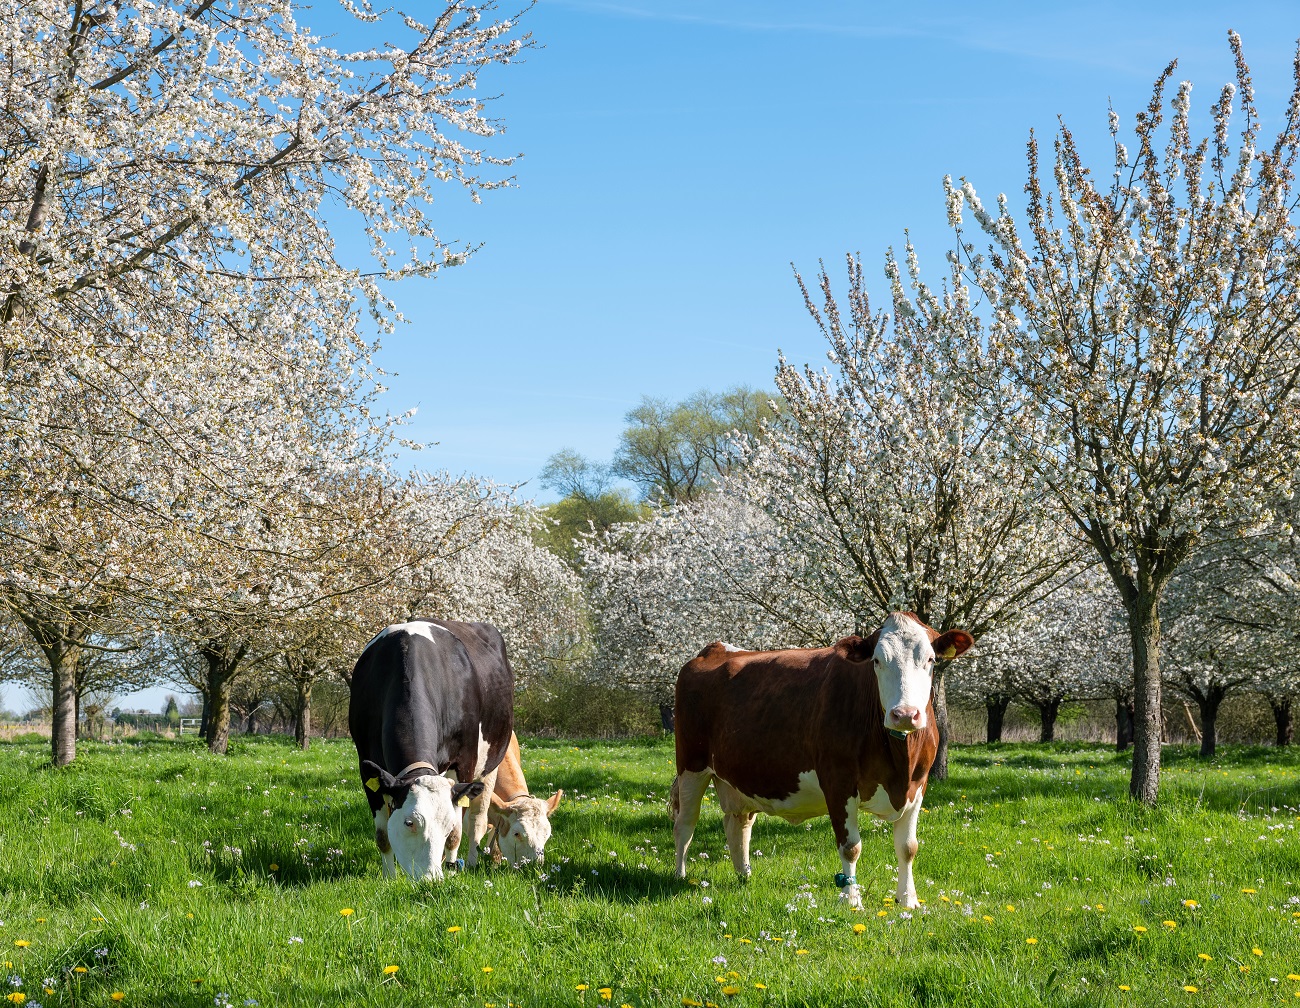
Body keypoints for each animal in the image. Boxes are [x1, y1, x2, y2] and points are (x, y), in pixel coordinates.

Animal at [349, 619, 515, 880]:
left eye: (446, 826)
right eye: (409, 823)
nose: (431, 878)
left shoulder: (464, 762)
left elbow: (457, 833)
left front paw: (452, 871)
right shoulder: (366, 766)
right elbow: (383, 836)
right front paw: (389, 878)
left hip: (490, 764)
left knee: (477, 820)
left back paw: (469, 862)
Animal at [670, 612, 974, 909]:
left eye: (931, 660)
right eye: (877, 661)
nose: (905, 714)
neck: (900, 761)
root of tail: (715, 649)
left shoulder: (918, 784)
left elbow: (908, 847)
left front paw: (908, 900)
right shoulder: (838, 782)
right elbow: (850, 847)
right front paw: (851, 900)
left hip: (739, 776)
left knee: (738, 824)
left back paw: (744, 876)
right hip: (691, 765)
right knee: (685, 823)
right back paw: (680, 876)